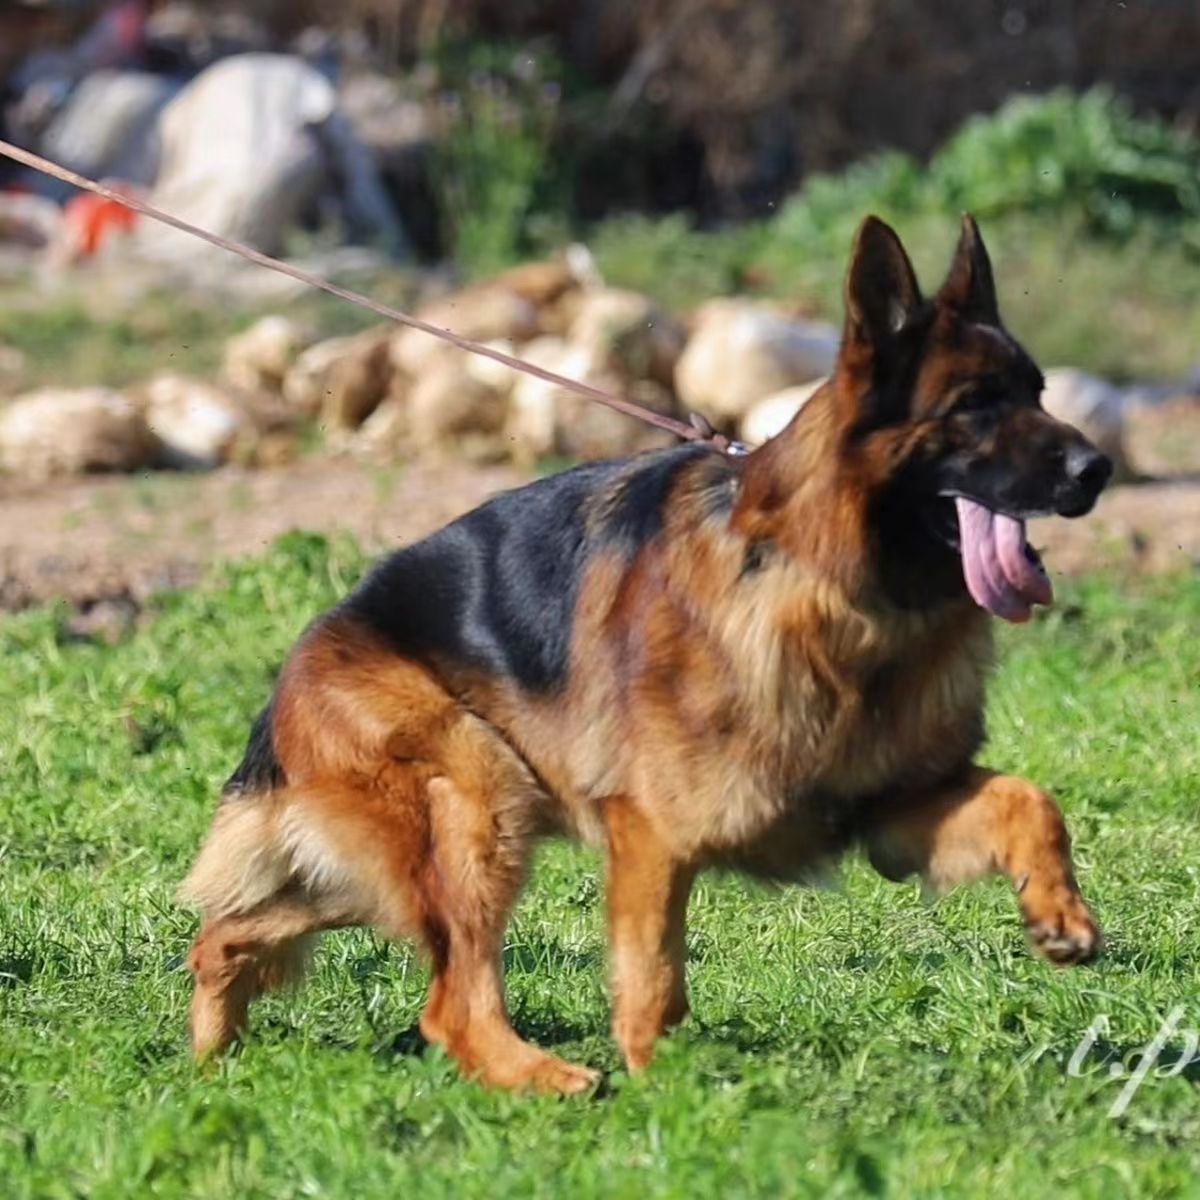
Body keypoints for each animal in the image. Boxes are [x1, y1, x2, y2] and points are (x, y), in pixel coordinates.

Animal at [182, 213, 1108, 1089]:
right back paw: (542, 1079)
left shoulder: (888, 806)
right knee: (451, 1003)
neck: (831, 589)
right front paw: (664, 1089)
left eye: (1038, 392)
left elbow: (1032, 799)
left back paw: (211, 1055)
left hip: (389, 856)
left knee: (231, 932)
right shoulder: (651, 835)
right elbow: (653, 980)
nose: (1096, 468)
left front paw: (1059, 913)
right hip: (476, 804)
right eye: (974, 406)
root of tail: (304, 653)